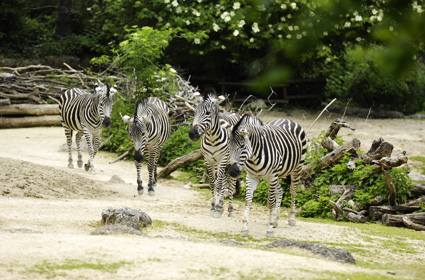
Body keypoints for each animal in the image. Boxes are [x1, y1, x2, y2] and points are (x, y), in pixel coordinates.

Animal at [187, 88, 240, 218]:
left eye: (207, 113)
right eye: (195, 112)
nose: (192, 134)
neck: (212, 138)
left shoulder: (223, 158)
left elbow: (219, 184)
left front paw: (216, 209)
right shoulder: (208, 159)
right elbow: (212, 183)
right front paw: (213, 206)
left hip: (234, 162)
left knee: (231, 184)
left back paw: (230, 210)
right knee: (225, 181)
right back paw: (220, 205)